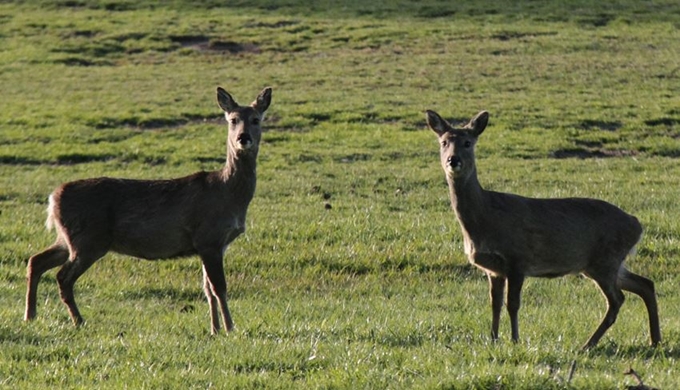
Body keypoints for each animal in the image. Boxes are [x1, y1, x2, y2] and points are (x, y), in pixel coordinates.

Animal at [25, 87, 272, 334]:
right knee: (62, 276)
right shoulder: (209, 237)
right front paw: (230, 328)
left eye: (256, 119)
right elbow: (219, 287)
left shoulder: (211, 244)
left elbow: (207, 289)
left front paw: (215, 329)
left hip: (68, 239)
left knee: (36, 260)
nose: (243, 138)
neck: (228, 192)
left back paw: (31, 316)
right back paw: (78, 320)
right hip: (88, 241)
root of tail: (54, 198)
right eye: (233, 120)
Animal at [428, 108, 660, 348]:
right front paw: (493, 339)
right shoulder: (494, 269)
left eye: (467, 142)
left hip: (605, 260)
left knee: (618, 299)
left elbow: (513, 304)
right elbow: (494, 304)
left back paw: (587, 344)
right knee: (645, 284)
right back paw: (654, 340)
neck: (485, 217)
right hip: (607, 264)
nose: (453, 160)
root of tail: (637, 225)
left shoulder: (517, 258)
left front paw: (515, 340)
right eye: (444, 142)